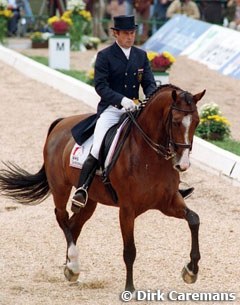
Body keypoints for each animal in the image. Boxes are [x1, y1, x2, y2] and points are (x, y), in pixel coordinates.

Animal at [0, 83, 206, 290]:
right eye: (176, 122)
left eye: (196, 122)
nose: (182, 165)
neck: (149, 156)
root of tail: (61, 122)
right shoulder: (127, 209)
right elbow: (129, 250)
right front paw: (129, 289)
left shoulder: (168, 202)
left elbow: (194, 220)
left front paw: (191, 271)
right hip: (60, 187)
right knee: (62, 217)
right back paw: (73, 264)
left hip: (90, 199)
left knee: (74, 225)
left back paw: (70, 269)